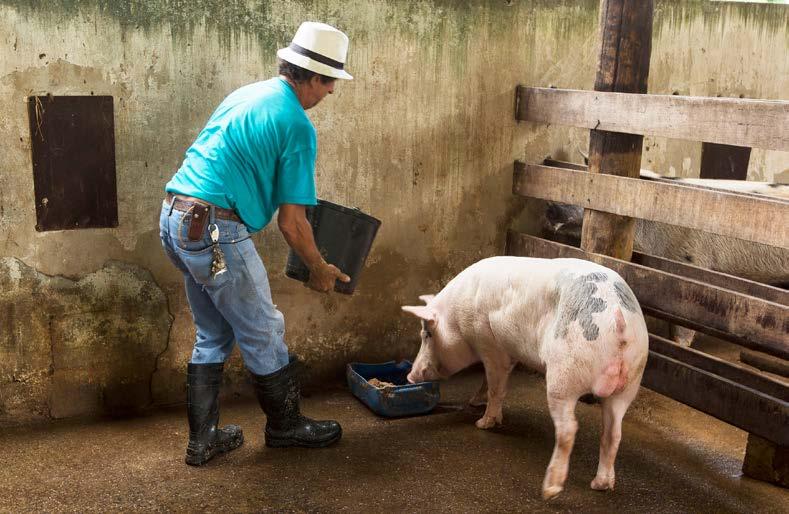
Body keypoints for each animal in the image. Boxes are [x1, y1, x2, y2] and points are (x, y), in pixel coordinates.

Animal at [404, 255, 648, 496]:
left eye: (427, 334)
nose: (410, 376)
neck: (457, 321)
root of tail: (618, 320)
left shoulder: (489, 343)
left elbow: (496, 386)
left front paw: (483, 423)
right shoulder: (507, 352)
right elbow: (490, 381)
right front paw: (476, 403)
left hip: (564, 375)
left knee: (568, 429)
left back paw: (550, 489)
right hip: (630, 381)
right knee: (613, 433)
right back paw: (600, 485)